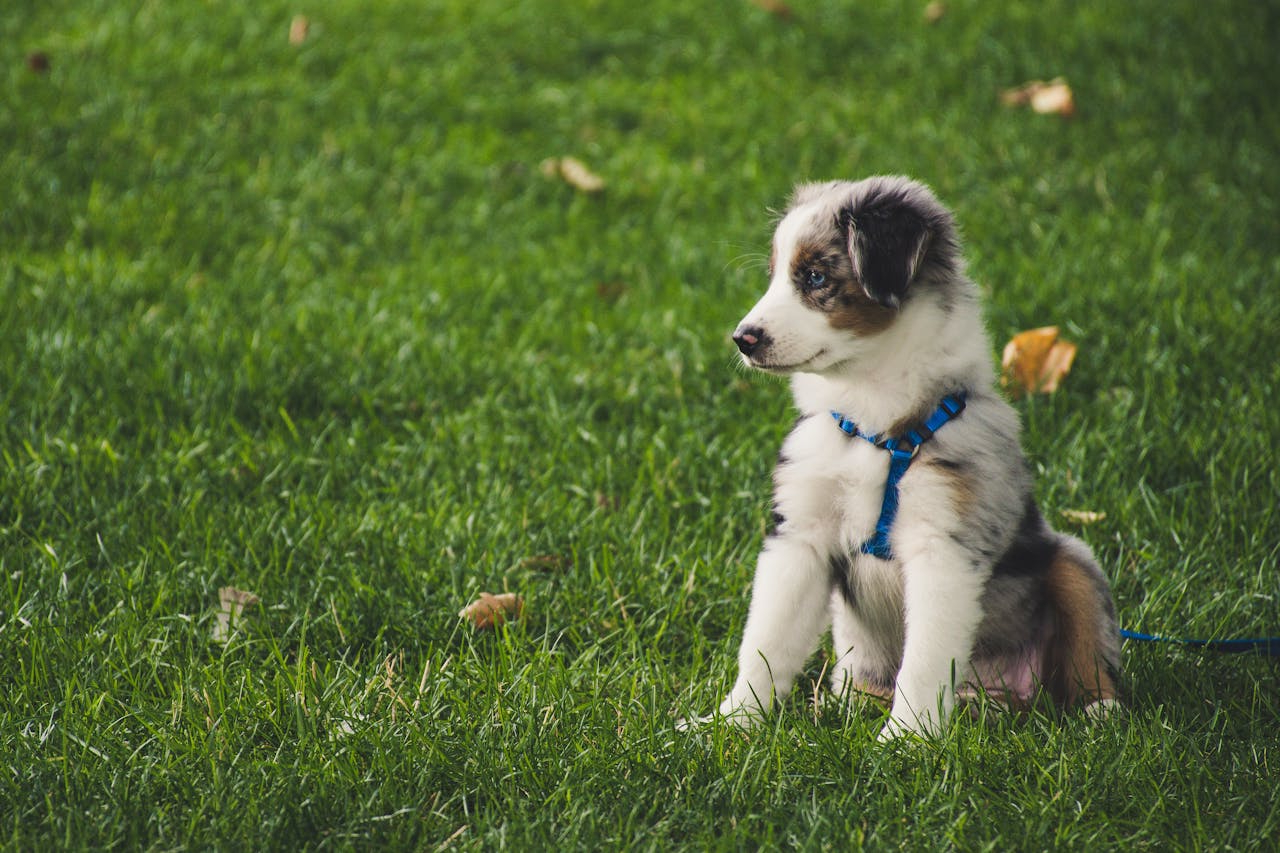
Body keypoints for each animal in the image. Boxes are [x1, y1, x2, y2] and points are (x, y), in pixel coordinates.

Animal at [691, 174, 1121, 737]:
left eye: (815, 276)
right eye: (775, 277)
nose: (742, 339)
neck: (874, 422)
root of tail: (996, 697)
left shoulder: (944, 546)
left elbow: (924, 660)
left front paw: (906, 740)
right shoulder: (800, 536)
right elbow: (766, 643)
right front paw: (729, 725)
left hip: (1072, 561)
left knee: (1087, 644)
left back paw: (1100, 710)